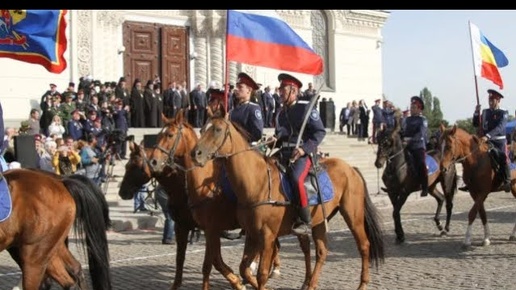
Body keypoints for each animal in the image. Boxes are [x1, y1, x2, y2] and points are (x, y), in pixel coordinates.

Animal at [189, 114, 382, 290]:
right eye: (202, 129)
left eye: (218, 129)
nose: (195, 154)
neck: (257, 182)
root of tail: (351, 169)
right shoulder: (251, 234)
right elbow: (244, 268)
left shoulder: (267, 236)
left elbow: (261, 273)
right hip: (319, 221)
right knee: (321, 252)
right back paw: (310, 284)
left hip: (353, 216)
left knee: (364, 245)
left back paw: (362, 284)